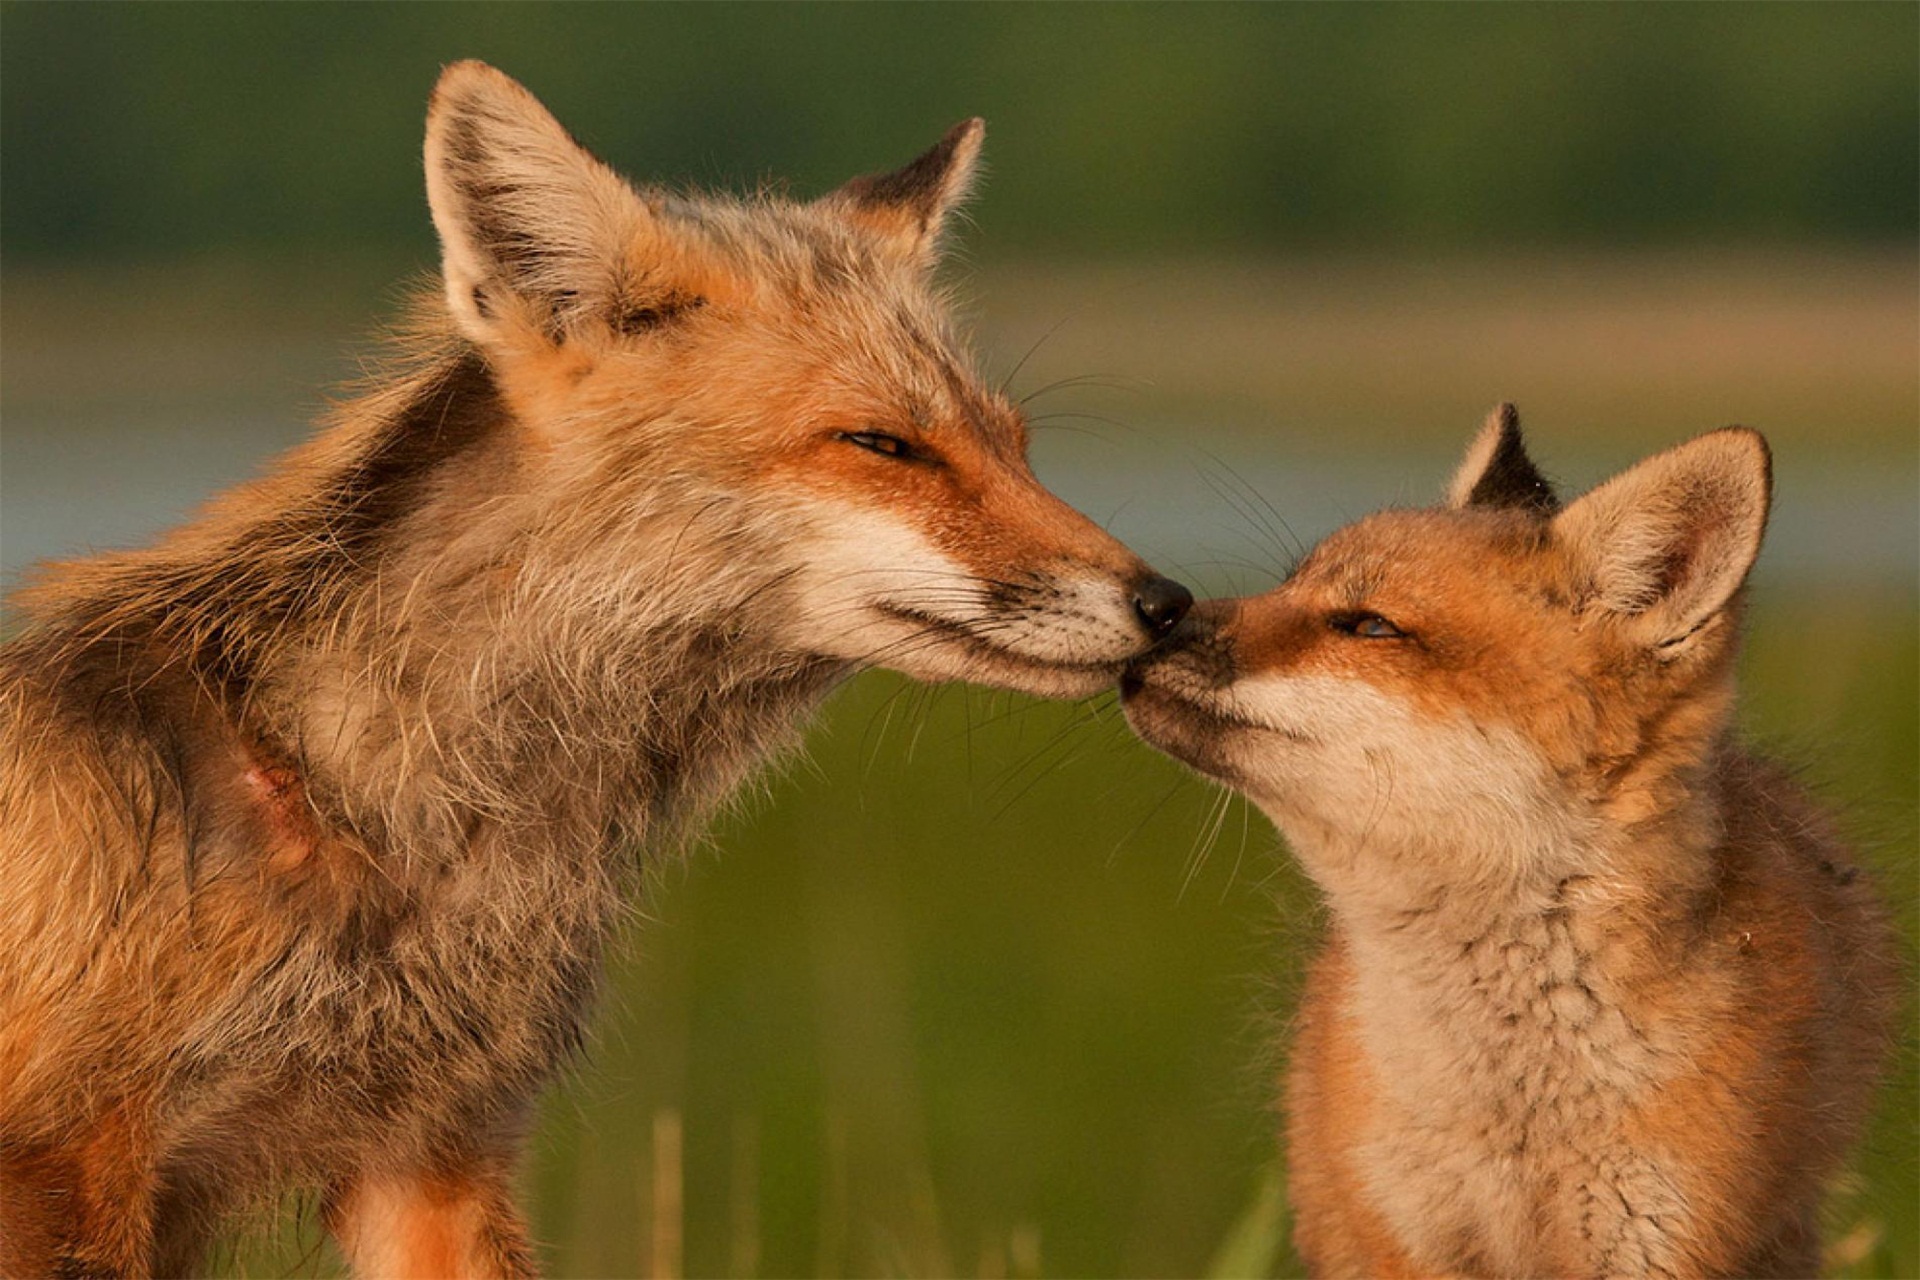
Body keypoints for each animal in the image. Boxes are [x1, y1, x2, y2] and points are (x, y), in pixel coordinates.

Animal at [1121, 410, 1889, 1280]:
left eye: (1369, 625)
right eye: (1289, 585)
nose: (1155, 616)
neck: (1513, 1114)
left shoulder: (1658, 1241)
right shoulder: (1404, 1234)